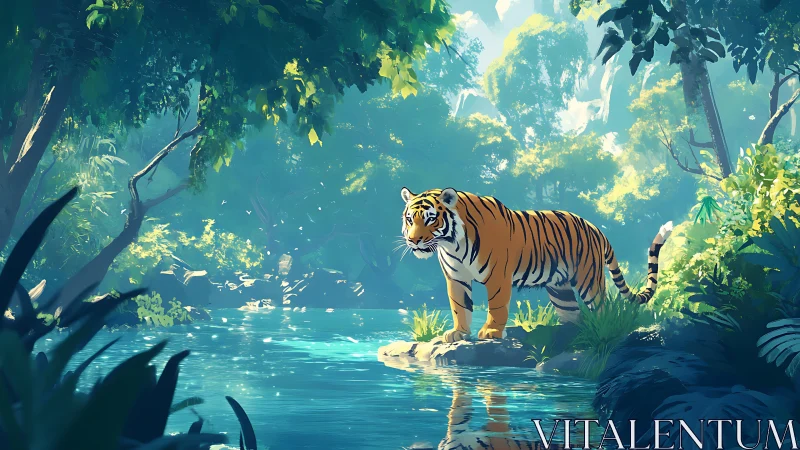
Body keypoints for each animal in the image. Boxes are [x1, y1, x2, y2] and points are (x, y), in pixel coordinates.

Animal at [400, 187, 673, 342]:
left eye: (431, 219)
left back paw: (601, 332)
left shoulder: (497, 276)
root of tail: (595, 228)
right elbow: (459, 306)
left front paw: (491, 332)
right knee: (573, 314)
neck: (451, 244)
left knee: (601, 309)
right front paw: (459, 333)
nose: (413, 240)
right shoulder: (456, 277)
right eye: (410, 219)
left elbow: (496, 306)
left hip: (588, 279)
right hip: (560, 289)